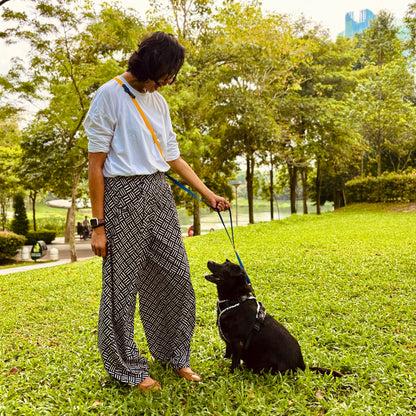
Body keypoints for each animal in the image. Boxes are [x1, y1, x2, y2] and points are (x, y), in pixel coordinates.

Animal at [206, 260, 342, 376]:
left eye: (226, 267)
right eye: (224, 263)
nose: (209, 261)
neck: (236, 300)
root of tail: (302, 365)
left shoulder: (237, 343)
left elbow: (234, 363)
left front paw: (231, 374)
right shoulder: (229, 342)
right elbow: (227, 354)